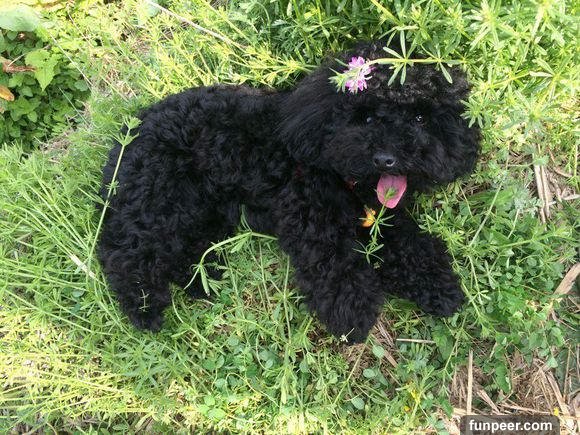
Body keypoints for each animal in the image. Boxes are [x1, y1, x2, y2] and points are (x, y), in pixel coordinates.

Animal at [98, 41, 480, 343]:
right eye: (366, 117)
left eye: (420, 118)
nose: (386, 158)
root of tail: (131, 132)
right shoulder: (309, 216)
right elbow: (333, 263)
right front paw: (353, 315)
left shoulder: (381, 218)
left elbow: (412, 245)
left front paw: (440, 287)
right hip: (163, 201)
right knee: (125, 254)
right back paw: (145, 307)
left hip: (205, 212)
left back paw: (203, 281)